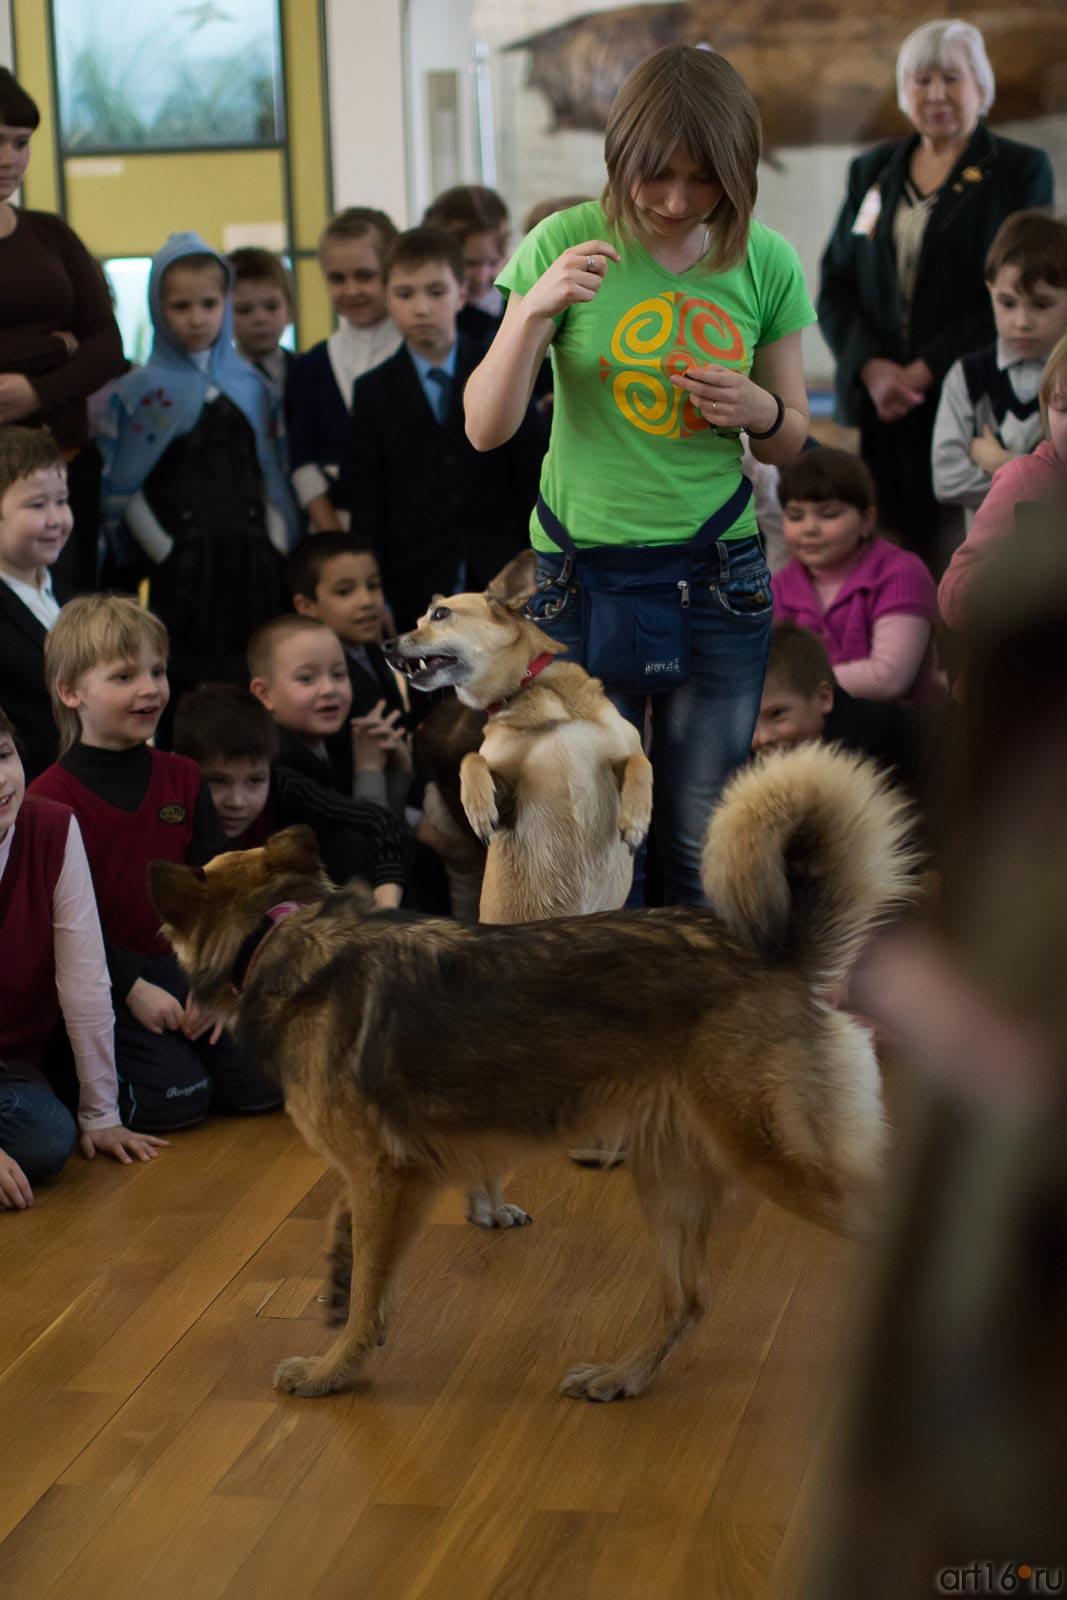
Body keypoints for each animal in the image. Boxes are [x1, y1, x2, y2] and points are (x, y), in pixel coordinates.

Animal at [147, 736, 921, 1401]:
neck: (275, 928)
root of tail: (783, 960)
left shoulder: (390, 1175)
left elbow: (371, 1293)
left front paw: (331, 1369)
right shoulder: (384, 1177)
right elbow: (352, 1239)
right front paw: (337, 1280)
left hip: (777, 1161)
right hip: (668, 1179)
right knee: (689, 1299)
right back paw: (619, 1377)